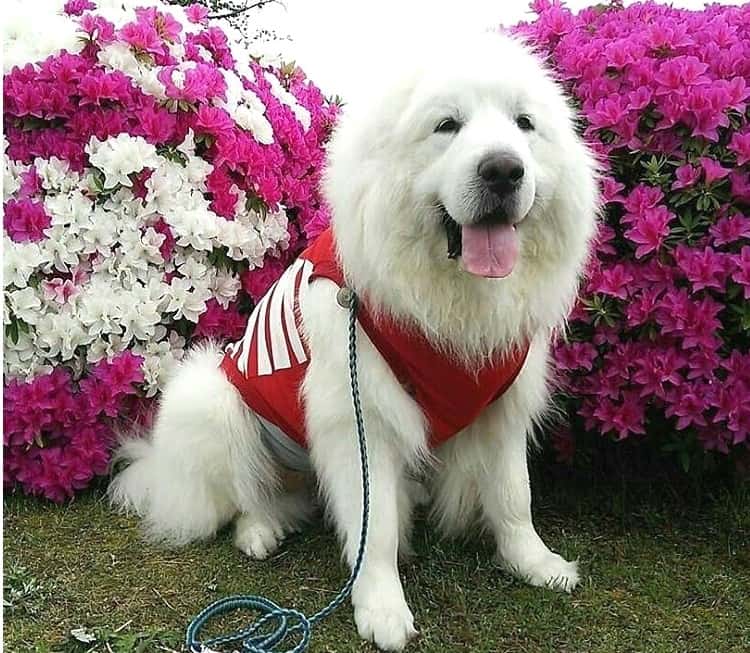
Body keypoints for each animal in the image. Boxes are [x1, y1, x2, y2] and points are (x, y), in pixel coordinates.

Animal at [110, 33, 600, 648]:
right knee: (246, 497)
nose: (504, 170)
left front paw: (534, 564)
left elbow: (515, 497)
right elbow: (377, 529)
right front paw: (383, 610)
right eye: (447, 124)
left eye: (524, 123)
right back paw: (259, 533)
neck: (449, 304)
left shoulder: (501, 406)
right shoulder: (358, 420)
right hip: (210, 399)